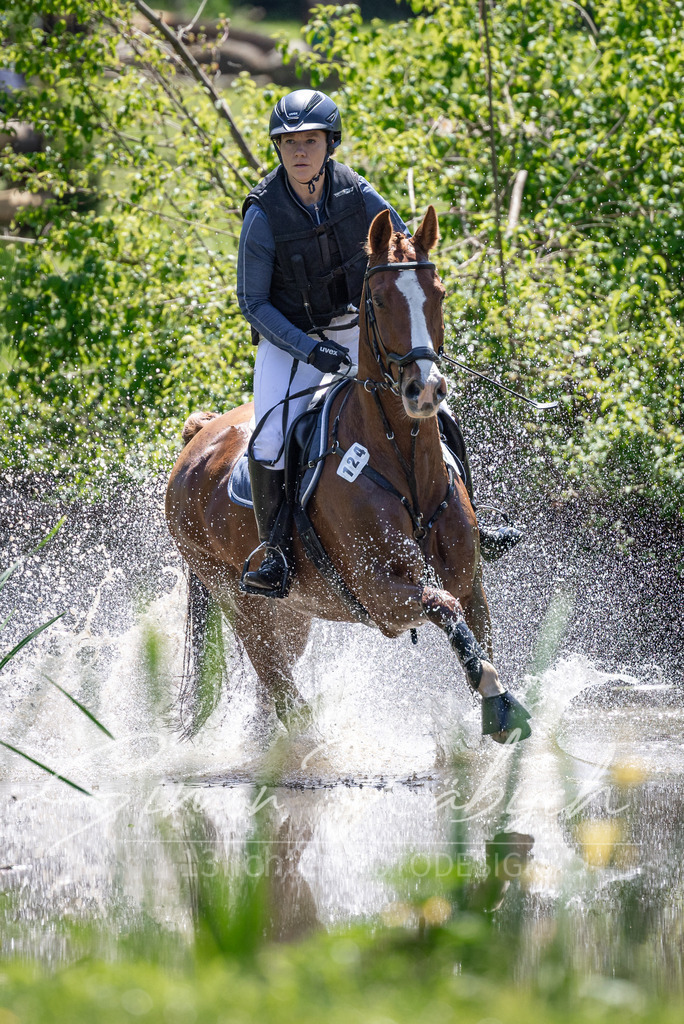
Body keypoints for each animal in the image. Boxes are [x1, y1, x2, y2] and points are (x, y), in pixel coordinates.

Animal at [165, 206, 531, 745]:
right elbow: (443, 607)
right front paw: (499, 706)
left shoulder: (469, 580)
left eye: (439, 292)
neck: (402, 460)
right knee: (282, 694)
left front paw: (495, 704)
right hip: (243, 604)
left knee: (270, 696)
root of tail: (195, 440)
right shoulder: (381, 595)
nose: (425, 390)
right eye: (377, 300)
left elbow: (471, 626)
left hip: (292, 614)